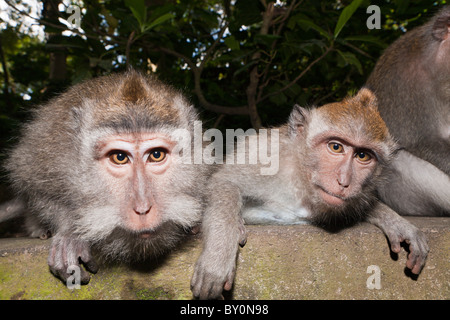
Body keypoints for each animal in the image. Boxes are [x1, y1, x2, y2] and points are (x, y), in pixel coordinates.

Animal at [0, 70, 212, 284]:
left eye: (156, 155)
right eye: (119, 157)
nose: (142, 209)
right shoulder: (48, 158)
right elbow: (36, 188)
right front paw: (71, 232)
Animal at [191, 88, 428, 300]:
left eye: (362, 156)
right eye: (335, 147)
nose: (344, 181)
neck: (301, 175)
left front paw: (394, 221)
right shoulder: (265, 154)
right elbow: (223, 181)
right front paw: (218, 257)